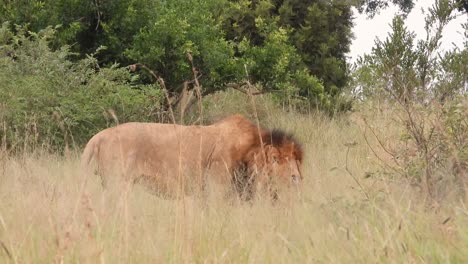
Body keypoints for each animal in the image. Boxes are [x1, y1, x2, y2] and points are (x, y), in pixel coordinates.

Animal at [81, 114, 304, 199]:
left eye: (295, 161)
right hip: (116, 184)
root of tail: (100, 135)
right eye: (275, 159)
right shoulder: (216, 191)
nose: (296, 179)